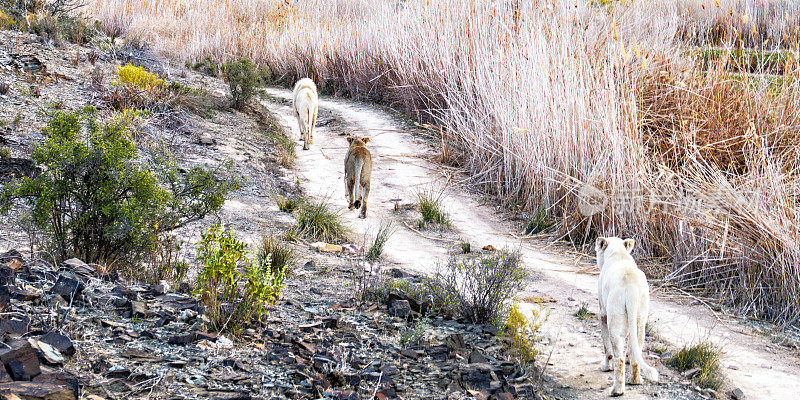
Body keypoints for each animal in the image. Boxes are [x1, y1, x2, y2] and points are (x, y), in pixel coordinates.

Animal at [596, 236, 660, 396]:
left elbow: (606, 348)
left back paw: (616, 391)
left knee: (617, 357)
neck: (618, 252)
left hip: (615, 320)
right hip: (640, 319)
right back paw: (635, 380)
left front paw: (605, 367)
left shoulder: (603, 313)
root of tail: (631, 288)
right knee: (636, 353)